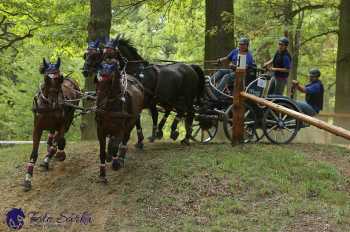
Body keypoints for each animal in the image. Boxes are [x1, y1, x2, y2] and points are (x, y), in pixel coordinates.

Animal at [23, 58, 80, 192]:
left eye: (60, 77)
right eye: (46, 78)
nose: (55, 102)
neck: (48, 107)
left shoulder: (63, 124)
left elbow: (58, 141)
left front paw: (57, 155)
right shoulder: (37, 128)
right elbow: (34, 153)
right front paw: (28, 179)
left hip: (69, 117)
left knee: (57, 138)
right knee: (51, 137)